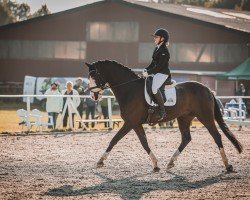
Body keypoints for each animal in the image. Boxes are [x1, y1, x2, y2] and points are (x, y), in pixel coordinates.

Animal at [85, 60, 243, 173]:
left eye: (94, 76)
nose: (93, 96)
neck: (129, 89)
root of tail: (208, 89)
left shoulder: (130, 123)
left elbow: (114, 140)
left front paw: (100, 161)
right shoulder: (136, 124)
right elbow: (144, 143)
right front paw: (155, 165)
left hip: (205, 117)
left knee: (217, 136)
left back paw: (228, 165)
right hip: (184, 118)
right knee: (186, 138)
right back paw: (171, 162)